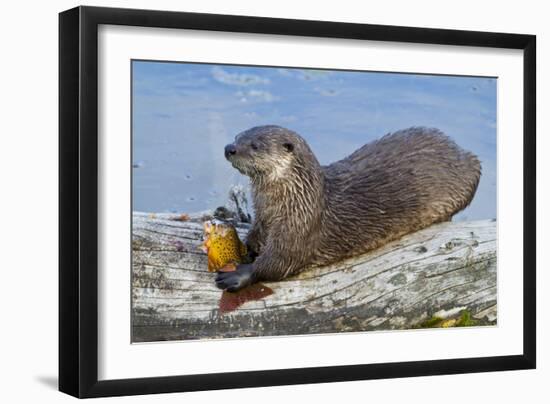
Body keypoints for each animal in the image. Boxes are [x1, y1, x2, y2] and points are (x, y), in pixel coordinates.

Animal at [217, 125, 484, 290]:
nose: (229, 148)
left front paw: (238, 274)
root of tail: (459, 149)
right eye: (238, 136)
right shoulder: (262, 218)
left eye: (255, 145)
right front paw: (243, 248)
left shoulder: (300, 228)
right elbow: (254, 238)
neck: (294, 199)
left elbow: (278, 262)